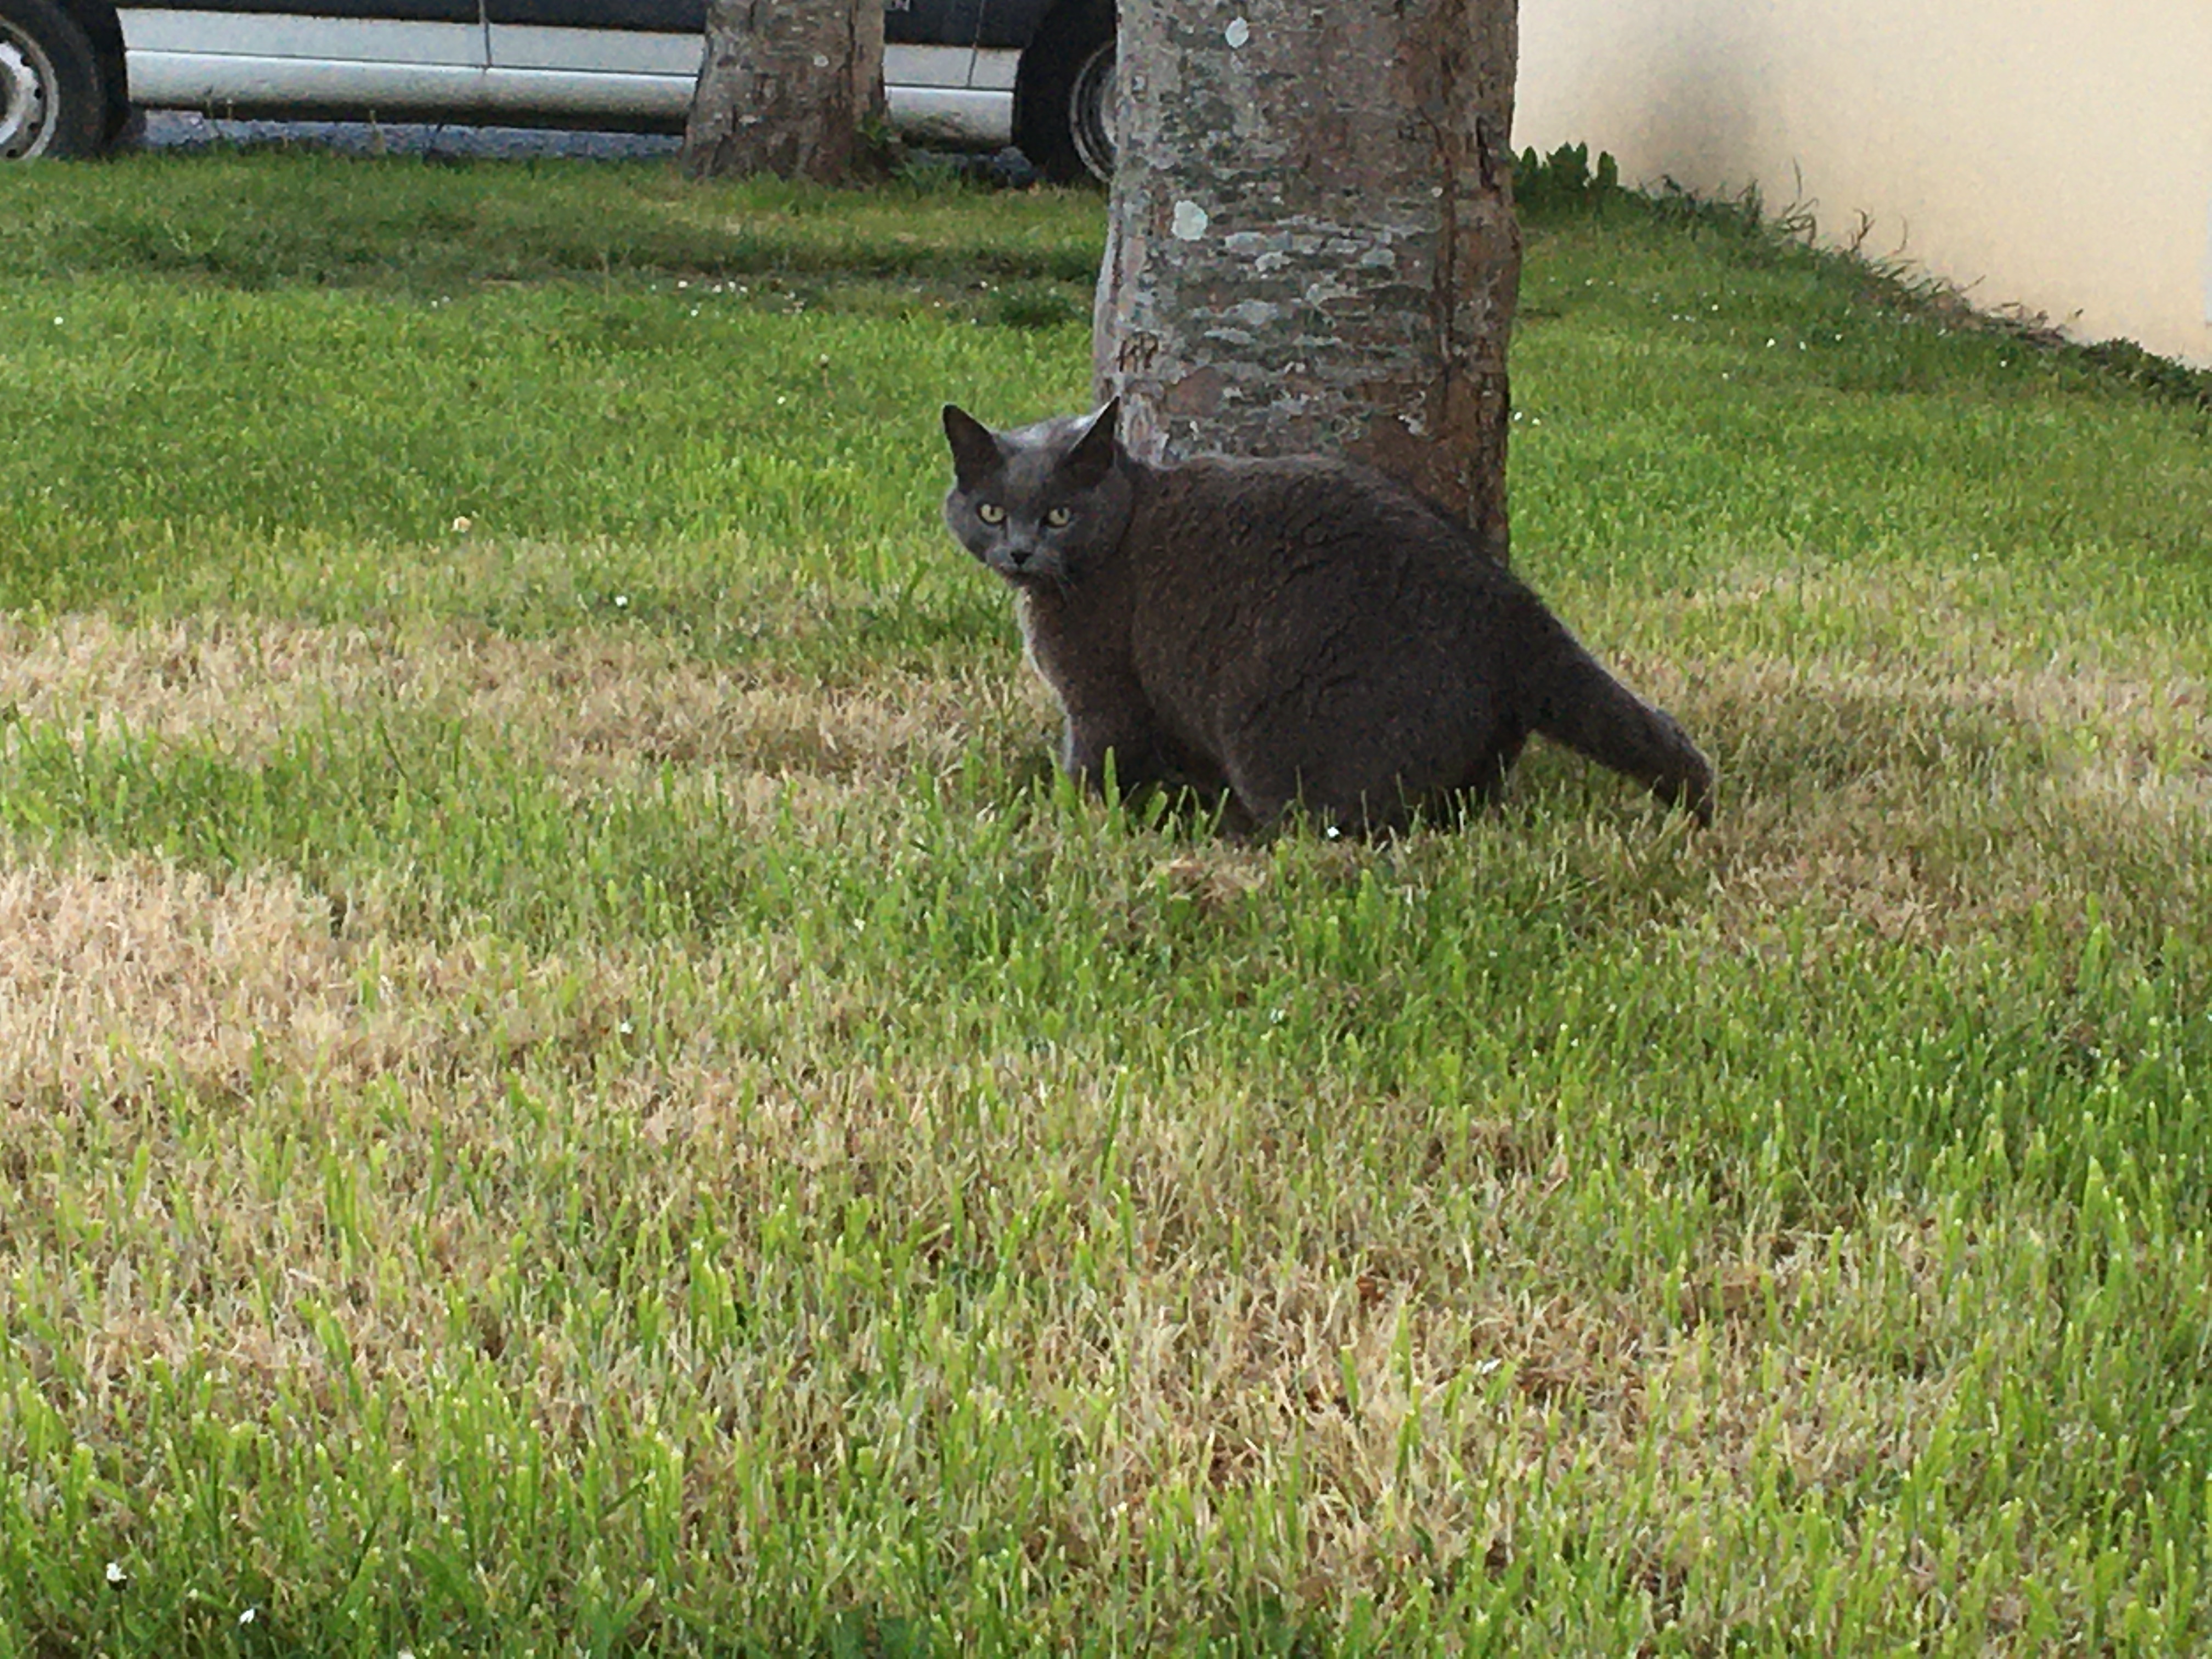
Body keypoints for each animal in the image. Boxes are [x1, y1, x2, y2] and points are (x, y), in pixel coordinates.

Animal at [940, 398, 1713, 834]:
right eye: (991, 511)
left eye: (1060, 516)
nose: (1019, 550)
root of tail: (1514, 610)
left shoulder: (1103, 693)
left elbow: (1093, 762)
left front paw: (1070, 822)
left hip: (1286, 729)